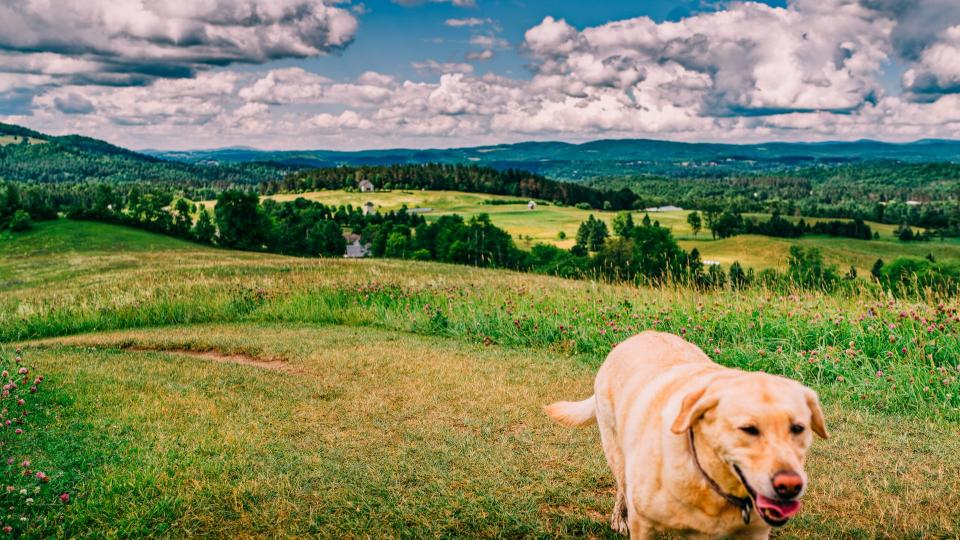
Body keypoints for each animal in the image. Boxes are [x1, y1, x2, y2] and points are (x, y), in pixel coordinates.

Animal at [548, 332, 824, 536]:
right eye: (748, 429)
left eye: (798, 428)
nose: (789, 486)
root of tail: (634, 336)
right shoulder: (644, 524)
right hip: (615, 448)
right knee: (621, 486)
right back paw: (619, 518)